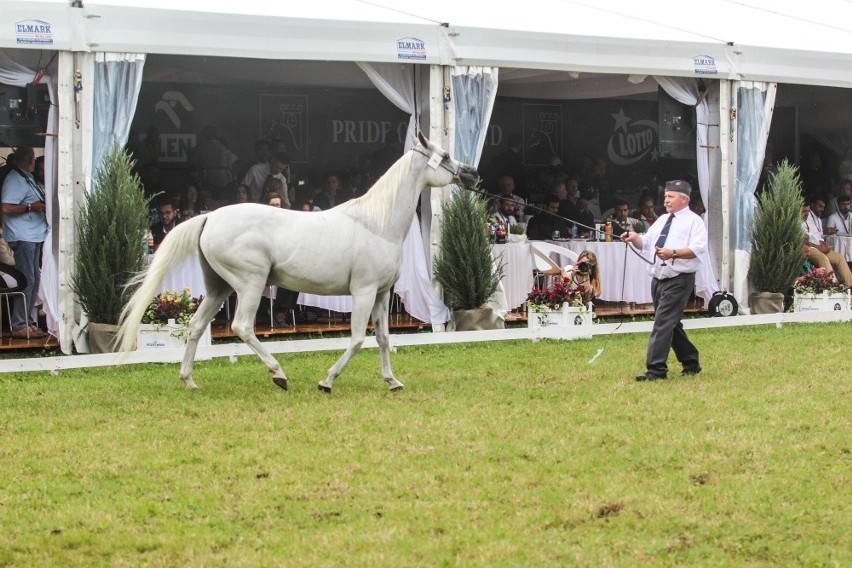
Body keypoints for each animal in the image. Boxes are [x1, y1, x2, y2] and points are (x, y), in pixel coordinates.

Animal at [115, 133, 480, 390]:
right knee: (241, 327)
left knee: (194, 326)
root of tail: (209, 217)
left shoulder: (380, 294)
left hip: (219, 288)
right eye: (446, 156)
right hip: (250, 284)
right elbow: (357, 339)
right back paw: (279, 374)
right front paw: (327, 381)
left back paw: (189, 380)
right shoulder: (363, 292)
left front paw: (392, 381)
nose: (472, 174)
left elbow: (383, 339)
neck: (375, 224)